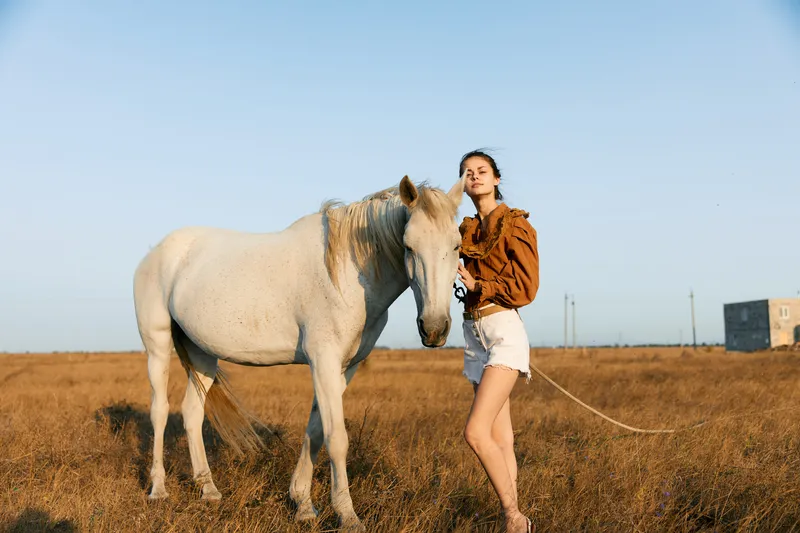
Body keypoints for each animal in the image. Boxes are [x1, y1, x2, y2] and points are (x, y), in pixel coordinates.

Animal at [132, 174, 466, 531]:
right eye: (409, 246)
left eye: (457, 246)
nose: (434, 329)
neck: (348, 273)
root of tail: (156, 253)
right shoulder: (324, 360)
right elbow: (336, 438)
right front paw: (347, 515)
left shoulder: (345, 367)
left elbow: (316, 430)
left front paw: (303, 503)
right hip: (157, 346)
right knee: (160, 411)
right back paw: (158, 489)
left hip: (203, 355)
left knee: (192, 412)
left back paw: (208, 490)